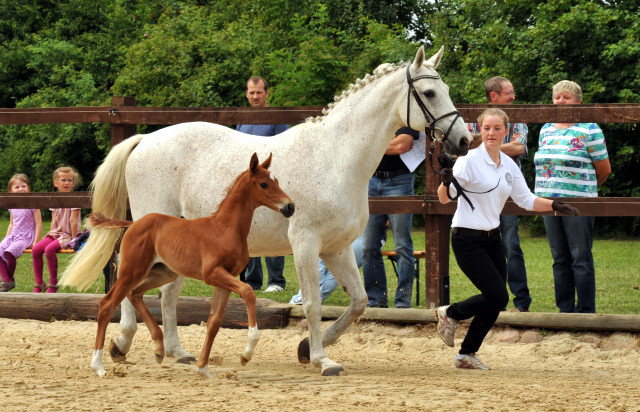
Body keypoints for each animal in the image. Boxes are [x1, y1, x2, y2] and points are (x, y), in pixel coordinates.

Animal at [86, 153, 294, 378]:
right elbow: (248, 291)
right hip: (132, 270)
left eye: (277, 181)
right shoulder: (212, 274)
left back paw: (159, 348)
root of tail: (133, 224)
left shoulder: (224, 279)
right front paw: (246, 354)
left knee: (135, 294)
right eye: (263, 184)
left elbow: (214, 322)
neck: (225, 229)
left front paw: (203, 369)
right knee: (107, 304)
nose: (290, 206)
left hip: (163, 273)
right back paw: (98, 365)